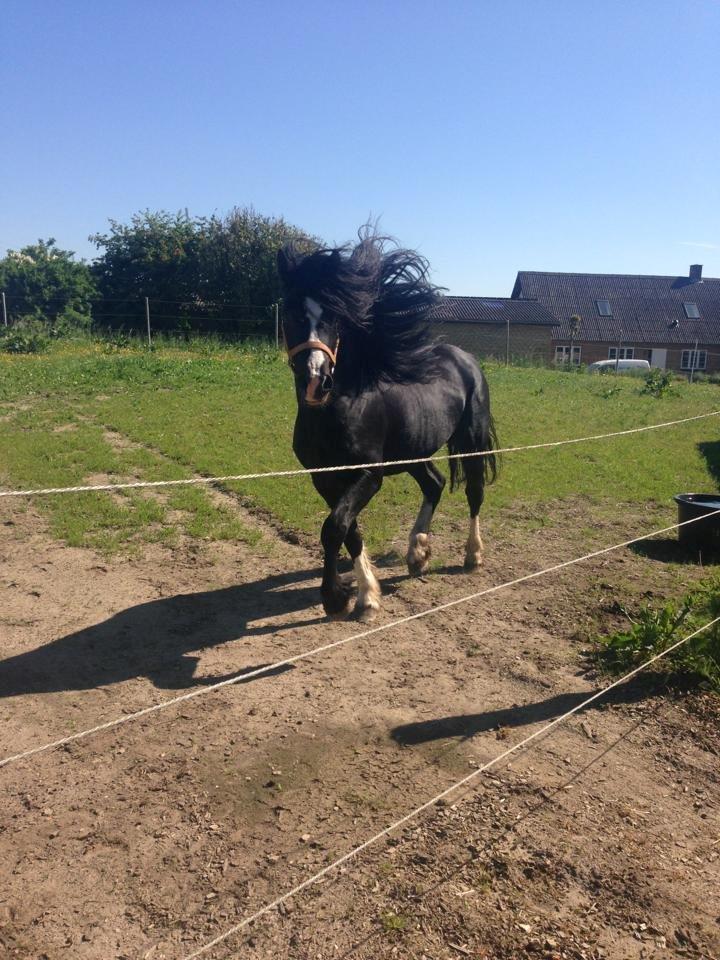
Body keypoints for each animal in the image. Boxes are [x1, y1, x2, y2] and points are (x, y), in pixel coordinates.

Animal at [276, 231, 496, 624]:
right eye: (289, 312)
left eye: (334, 316)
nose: (317, 381)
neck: (341, 406)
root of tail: (466, 358)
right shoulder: (324, 478)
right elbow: (348, 530)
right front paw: (362, 595)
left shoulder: (369, 475)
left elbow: (334, 527)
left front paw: (339, 598)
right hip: (413, 451)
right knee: (435, 483)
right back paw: (417, 554)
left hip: (471, 440)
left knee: (474, 492)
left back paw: (472, 555)